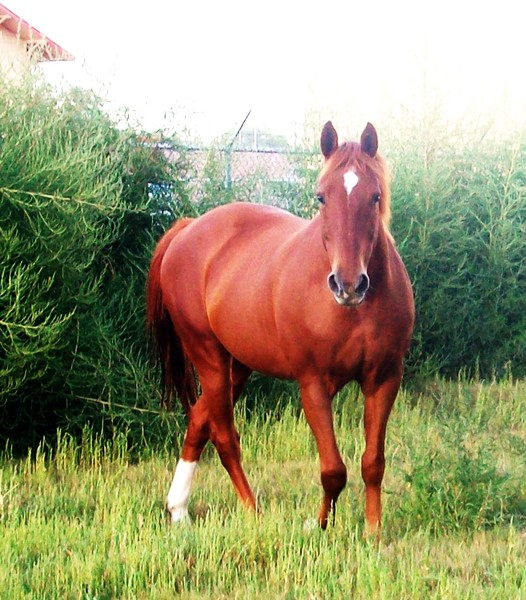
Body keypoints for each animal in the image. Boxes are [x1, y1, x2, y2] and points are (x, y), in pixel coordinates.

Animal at [147, 120, 416, 528]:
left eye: (375, 196)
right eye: (321, 197)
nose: (348, 284)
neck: (354, 313)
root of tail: (189, 229)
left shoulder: (384, 379)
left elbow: (373, 463)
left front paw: (373, 532)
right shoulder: (313, 384)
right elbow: (333, 470)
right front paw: (318, 526)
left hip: (238, 365)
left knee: (198, 420)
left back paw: (178, 510)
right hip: (208, 357)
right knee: (224, 436)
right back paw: (251, 510)